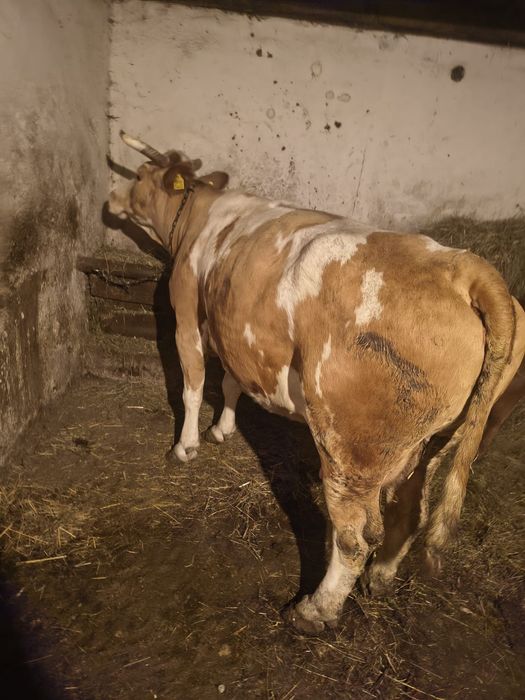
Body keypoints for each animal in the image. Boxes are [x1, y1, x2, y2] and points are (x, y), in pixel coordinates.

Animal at [109, 131, 525, 634]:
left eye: (139, 176)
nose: (109, 199)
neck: (202, 215)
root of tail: (464, 267)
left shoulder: (187, 309)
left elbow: (193, 384)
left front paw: (185, 446)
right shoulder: (235, 329)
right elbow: (231, 383)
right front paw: (222, 429)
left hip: (350, 450)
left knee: (355, 537)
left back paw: (315, 610)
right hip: (435, 441)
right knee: (408, 514)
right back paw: (379, 579)